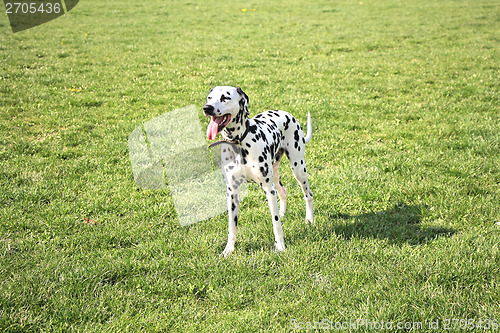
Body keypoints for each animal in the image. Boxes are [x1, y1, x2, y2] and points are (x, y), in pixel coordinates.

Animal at [202, 86, 312, 256]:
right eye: (209, 97)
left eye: (225, 98)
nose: (207, 108)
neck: (239, 143)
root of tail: (288, 114)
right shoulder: (232, 192)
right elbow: (231, 226)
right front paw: (228, 250)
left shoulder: (267, 188)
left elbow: (275, 223)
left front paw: (280, 246)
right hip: (275, 175)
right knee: (283, 192)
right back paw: (283, 213)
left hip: (298, 168)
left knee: (308, 195)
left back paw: (309, 220)